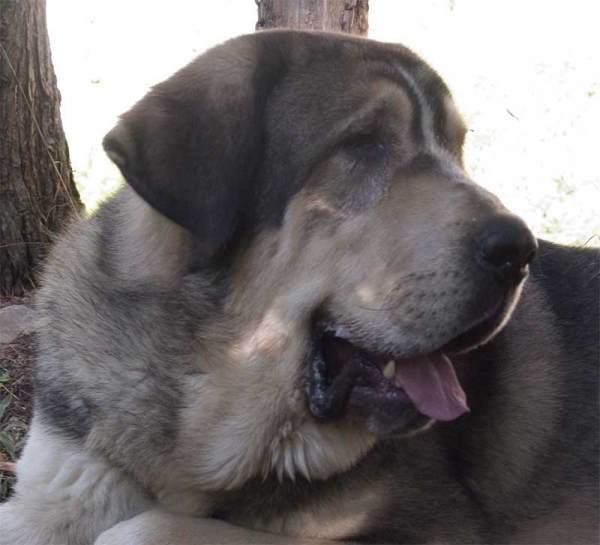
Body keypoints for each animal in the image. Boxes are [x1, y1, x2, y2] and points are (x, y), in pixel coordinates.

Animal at [1, 30, 600, 544]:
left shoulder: (434, 529)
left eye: (457, 150)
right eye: (363, 144)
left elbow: (140, 530)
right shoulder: (60, 478)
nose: (518, 251)